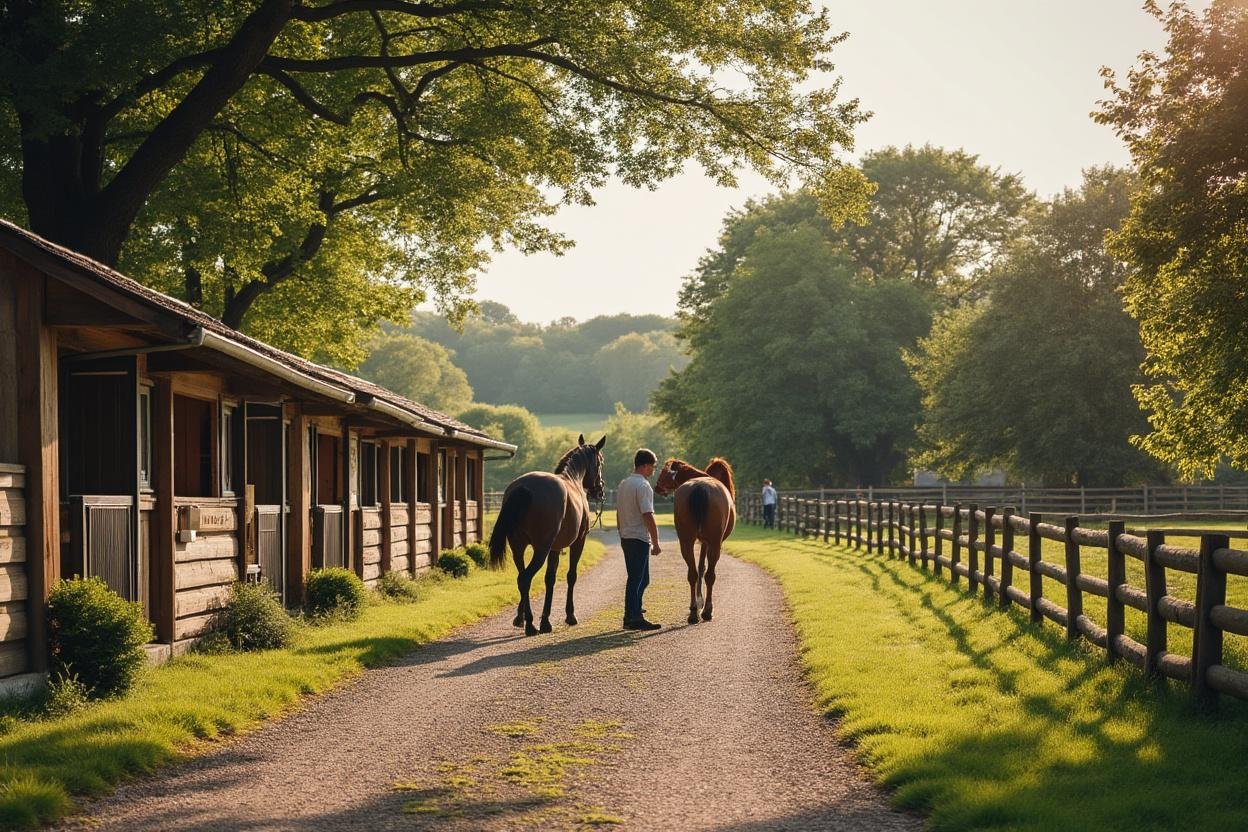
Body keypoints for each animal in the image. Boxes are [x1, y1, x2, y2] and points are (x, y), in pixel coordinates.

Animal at [488, 434, 606, 636]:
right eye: (600, 462)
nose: (600, 489)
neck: (573, 480)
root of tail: (524, 487)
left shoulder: (555, 548)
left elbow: (549, 579)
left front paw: (540, 620)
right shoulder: (578, 543)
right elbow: (570, 576)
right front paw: (569, 616)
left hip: (518, 549)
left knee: (521, 578)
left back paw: (524, 619)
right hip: (540, 550)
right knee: (526, 578)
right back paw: (531, 625)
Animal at [655, 457, 736, 624]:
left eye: (664, 472)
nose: (656, 488)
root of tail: (699, 487)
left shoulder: (702, 542)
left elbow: (699, 568)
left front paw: (698, 601)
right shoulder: (707, 542)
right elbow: (703, 568)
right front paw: (701, 601)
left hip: (686, 541)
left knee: (692, 573)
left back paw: (693, 612)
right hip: (714, 543)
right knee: (710, 575)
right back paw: (707, 611)